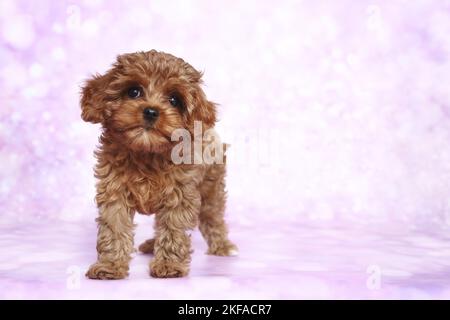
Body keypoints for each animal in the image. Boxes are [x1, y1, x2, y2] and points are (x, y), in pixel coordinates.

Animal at [80, 49, 237, 278]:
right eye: (133, 91)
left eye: (174, 100)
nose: (151, 111)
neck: (147, 152)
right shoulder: (114, 192)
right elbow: (114, 228)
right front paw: (110, 265)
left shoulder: (180, 195)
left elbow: (173, 228)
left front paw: (169, 265)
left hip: (211, 188)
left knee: (213, 218)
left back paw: (223, 246)